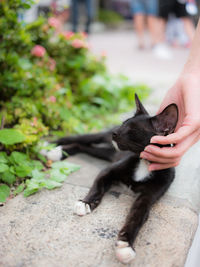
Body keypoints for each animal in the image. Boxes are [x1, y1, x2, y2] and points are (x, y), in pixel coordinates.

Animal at [55, 95, 178, 264]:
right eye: (123, 123)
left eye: (132, 130)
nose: (115, 132)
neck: (144, 163)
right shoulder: (108, 171)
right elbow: (98, 186)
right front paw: (86, 203)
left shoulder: (150, 195)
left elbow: (137, 215)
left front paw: (126, 244)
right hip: (102, 137)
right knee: (81, 138)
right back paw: (53, 147)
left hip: (109, 153)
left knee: (85, 147)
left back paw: (60, 152)